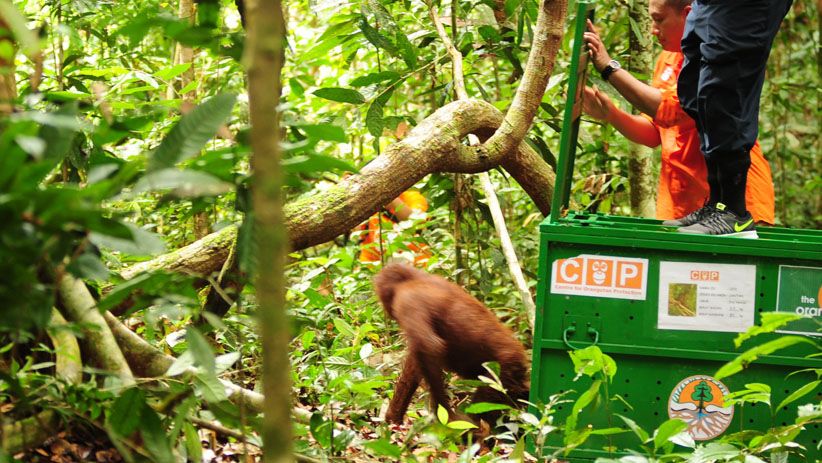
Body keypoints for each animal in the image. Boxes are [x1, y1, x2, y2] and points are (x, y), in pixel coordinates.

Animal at [374, 263, 530, 426]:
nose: (389, 312)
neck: (412, 279)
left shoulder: (408, 301)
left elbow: (429, 346)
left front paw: (445, 413)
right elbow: (416, 362)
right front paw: (394, 417)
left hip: (501, 371)